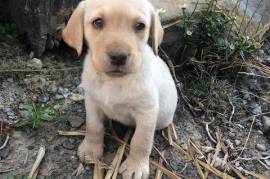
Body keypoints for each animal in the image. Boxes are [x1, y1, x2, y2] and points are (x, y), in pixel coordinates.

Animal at [63, 0, 177, 178]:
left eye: (140, 25)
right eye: (97, 22)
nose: (118, 56)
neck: (115, 80)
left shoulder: (147, 112)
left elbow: (141, 141)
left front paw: (136, 167)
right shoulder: (92, 102)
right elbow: (93, 127)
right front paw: (90, 150)